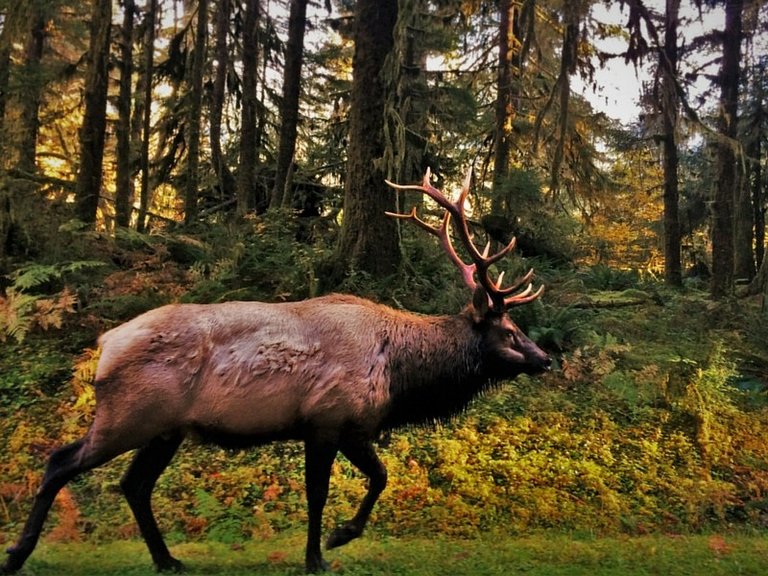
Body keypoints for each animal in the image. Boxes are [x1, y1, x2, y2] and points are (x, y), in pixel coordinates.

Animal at [1, 170, 552, 572]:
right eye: (509, 331)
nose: (545, 358)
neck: (399, 378)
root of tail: (104, 344)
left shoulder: (343, 428)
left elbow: (376, 478)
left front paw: (333, 541)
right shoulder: (329, 420)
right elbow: (332, 491)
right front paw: (324, 550)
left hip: (164, 430)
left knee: (133, 485)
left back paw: (167, 559)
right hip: (128, 415)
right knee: (60, 461)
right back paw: (18, 553)